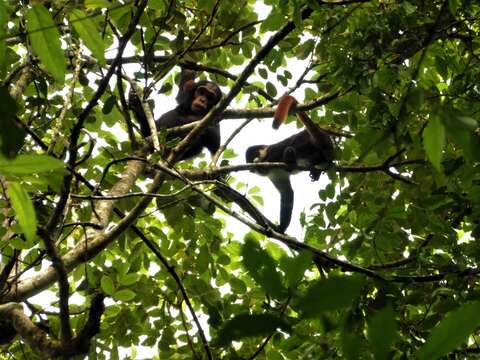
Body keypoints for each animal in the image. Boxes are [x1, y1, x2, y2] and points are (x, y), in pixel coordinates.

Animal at [248, 94, 334, 232]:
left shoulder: (272, 154)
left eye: (252, 164)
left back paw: (291, 157)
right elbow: (287, 193)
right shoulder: (273, 174)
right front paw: (282, 227)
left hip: (305, 141)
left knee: (291, 145)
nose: (253, 170)